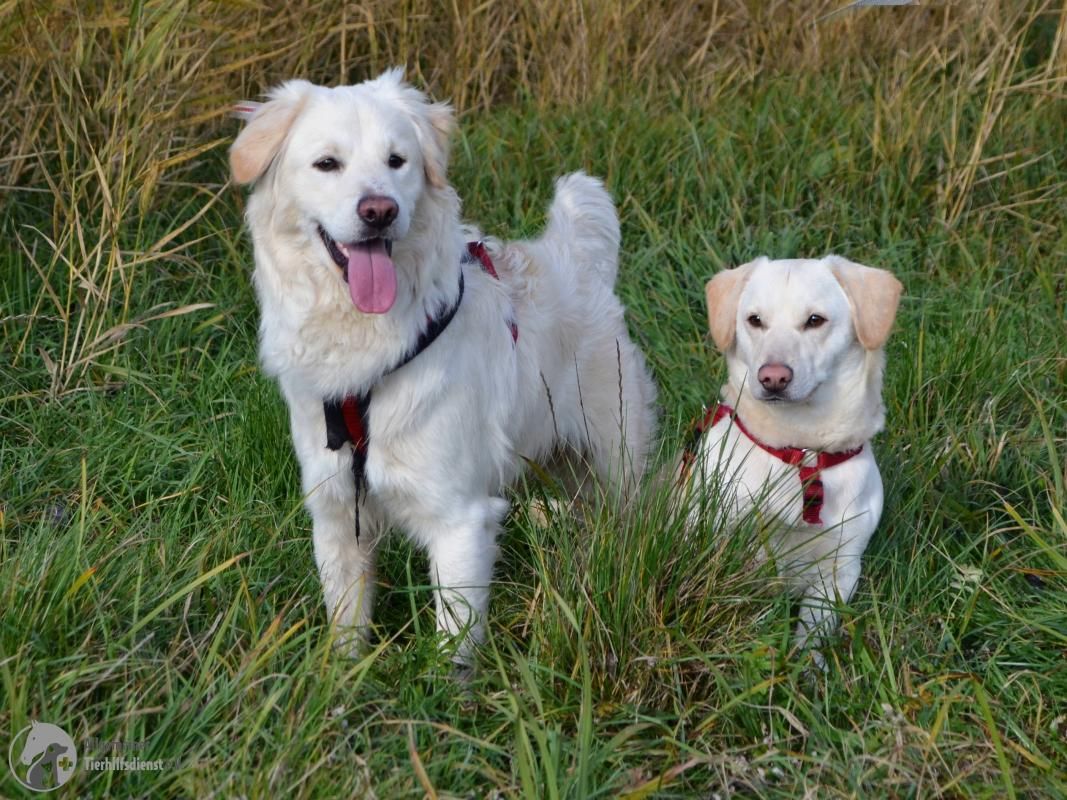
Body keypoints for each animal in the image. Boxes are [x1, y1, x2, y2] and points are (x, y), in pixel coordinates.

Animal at [229, 70, 656, 662]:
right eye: (327, 164)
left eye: (397, 161)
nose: (379, 211)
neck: (371, 356)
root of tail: (576, 261)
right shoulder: (337, 515)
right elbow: (346, 632)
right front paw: (341, 680)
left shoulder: (460, 521)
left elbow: (450, 649)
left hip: (614, 466)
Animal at [676, 255, 902, 660]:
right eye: (754, 320)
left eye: (815, 320)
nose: (773, 377)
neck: (800, 452)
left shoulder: (839, 569)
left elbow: (813, 632)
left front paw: (807, 667)